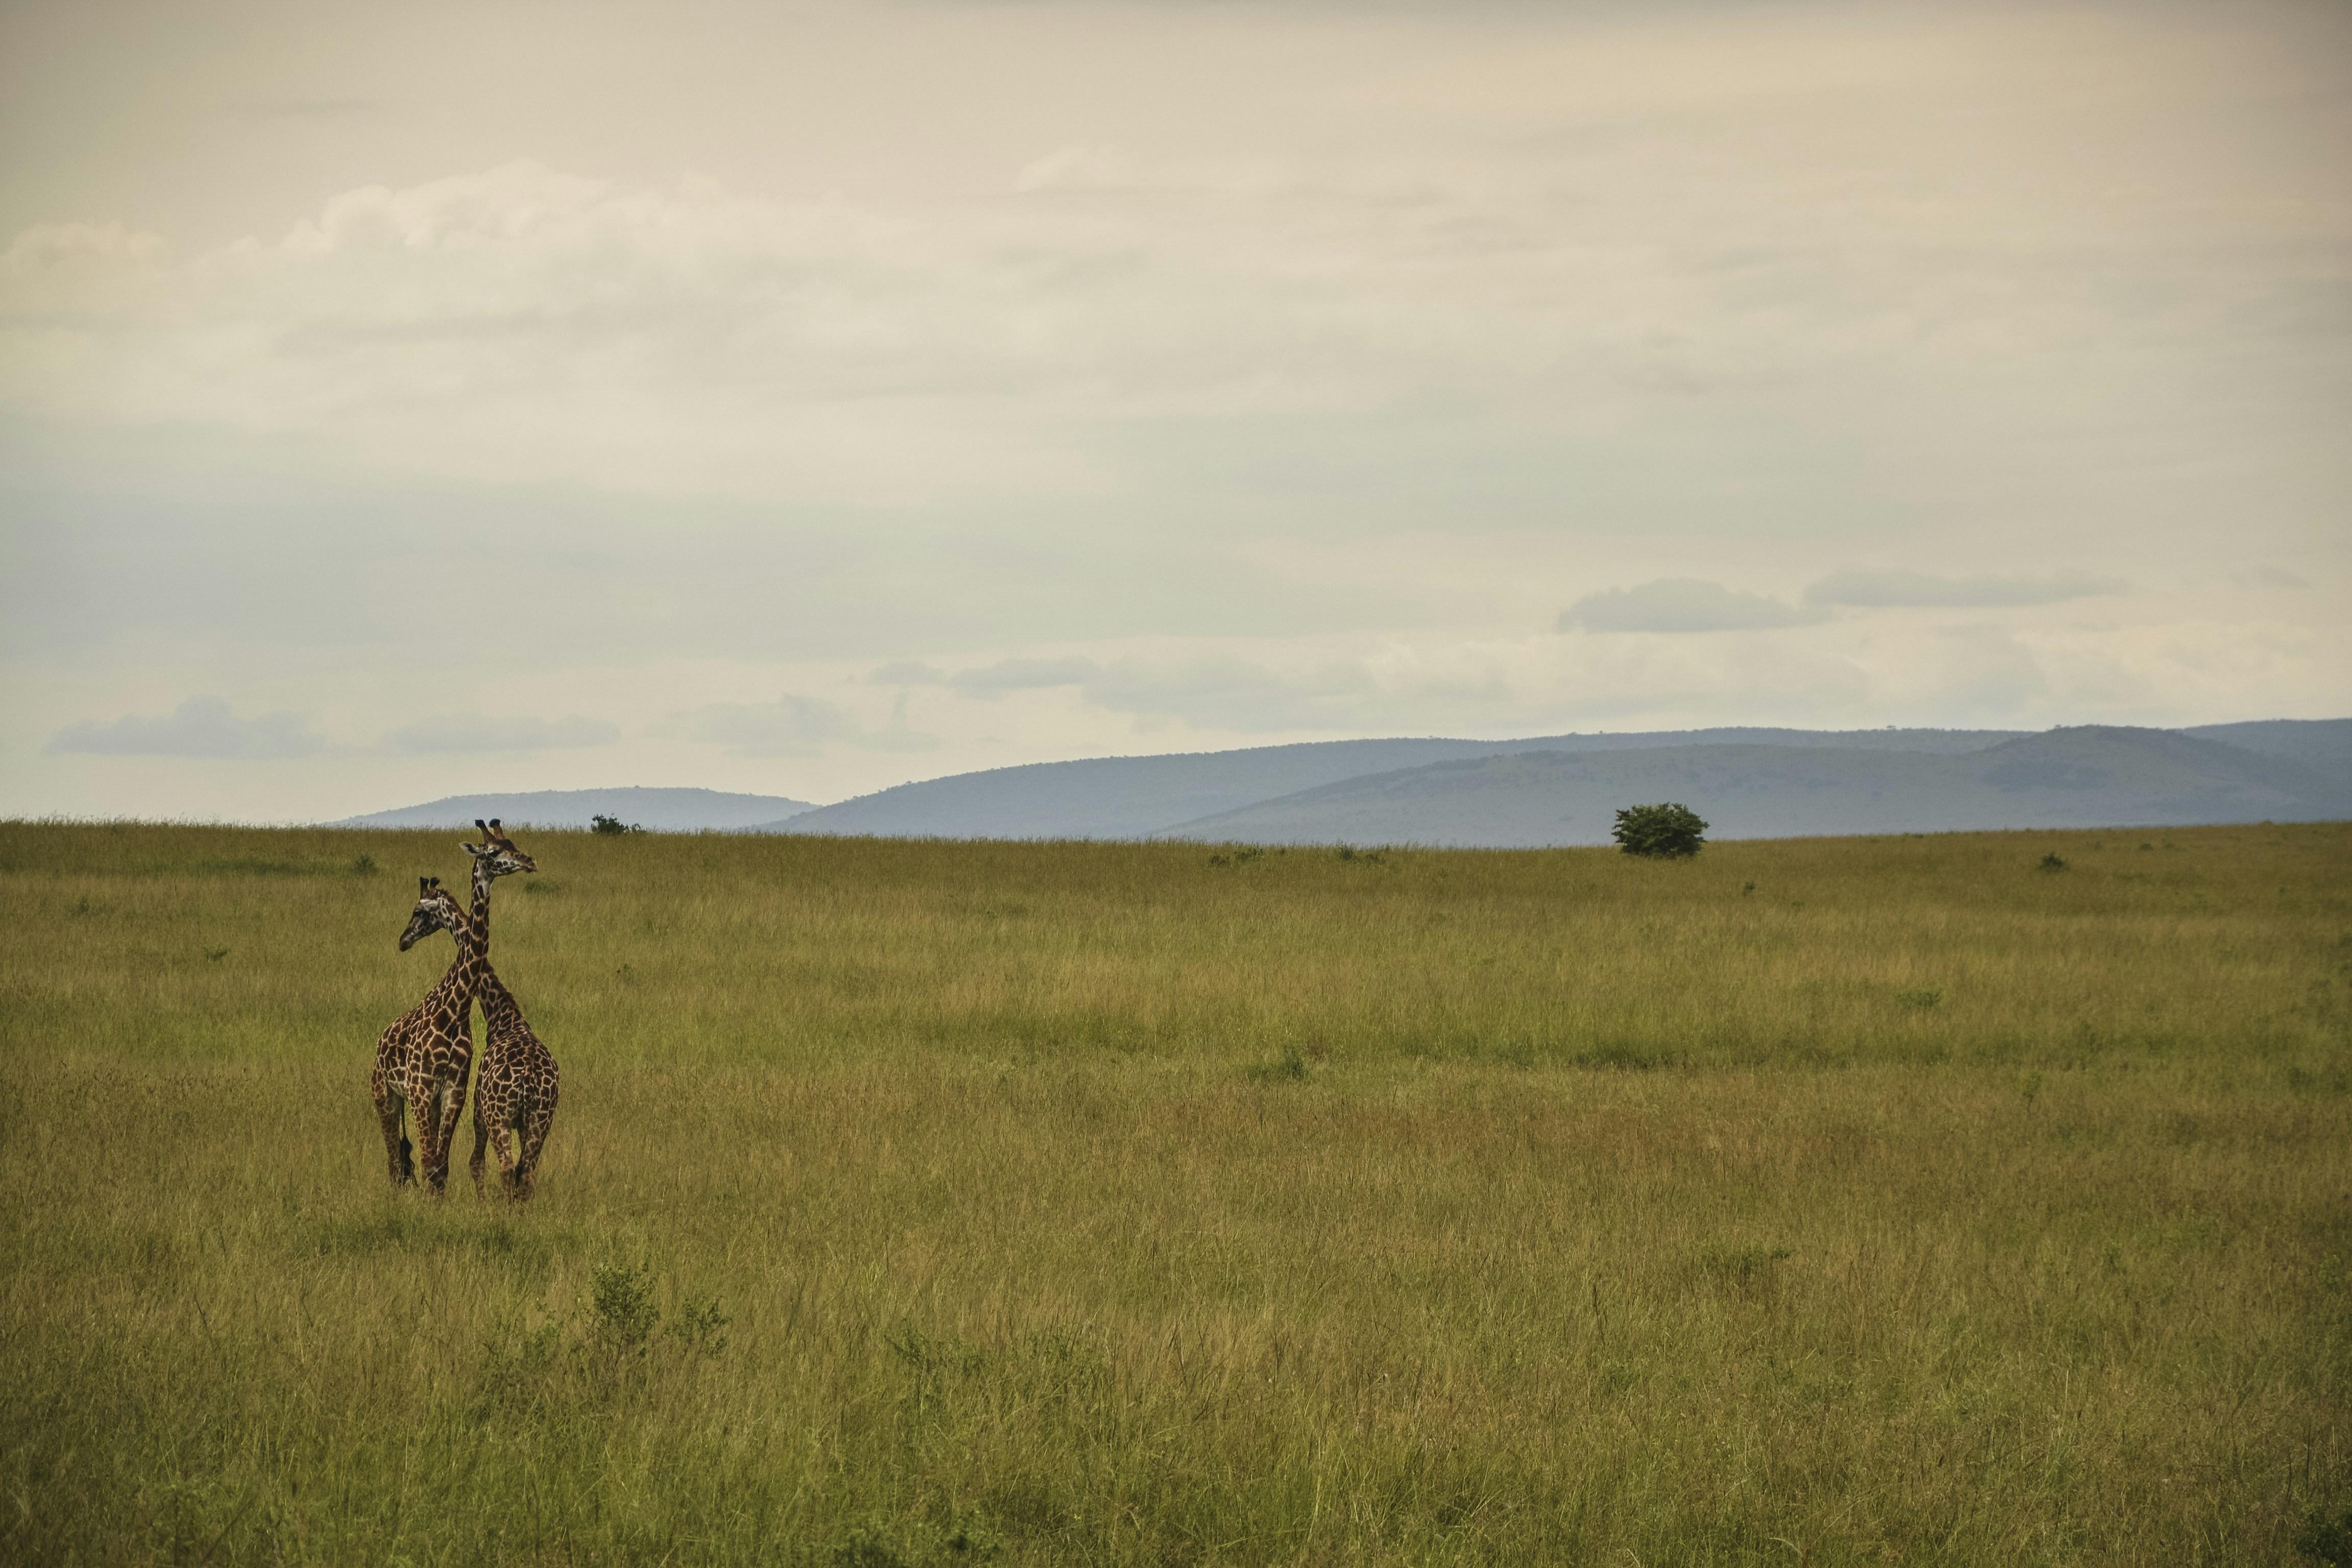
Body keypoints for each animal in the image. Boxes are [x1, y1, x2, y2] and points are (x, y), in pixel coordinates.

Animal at [369, 822, 536, 1189]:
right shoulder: (420, 1087)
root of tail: (381, 1040)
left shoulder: (452, 1091)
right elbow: (428, 1161)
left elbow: (439, 1167)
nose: (403, 941)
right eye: (493, 852)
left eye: (512, 844)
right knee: (394, 1160)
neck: (455, 1009)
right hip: (384, 1094)